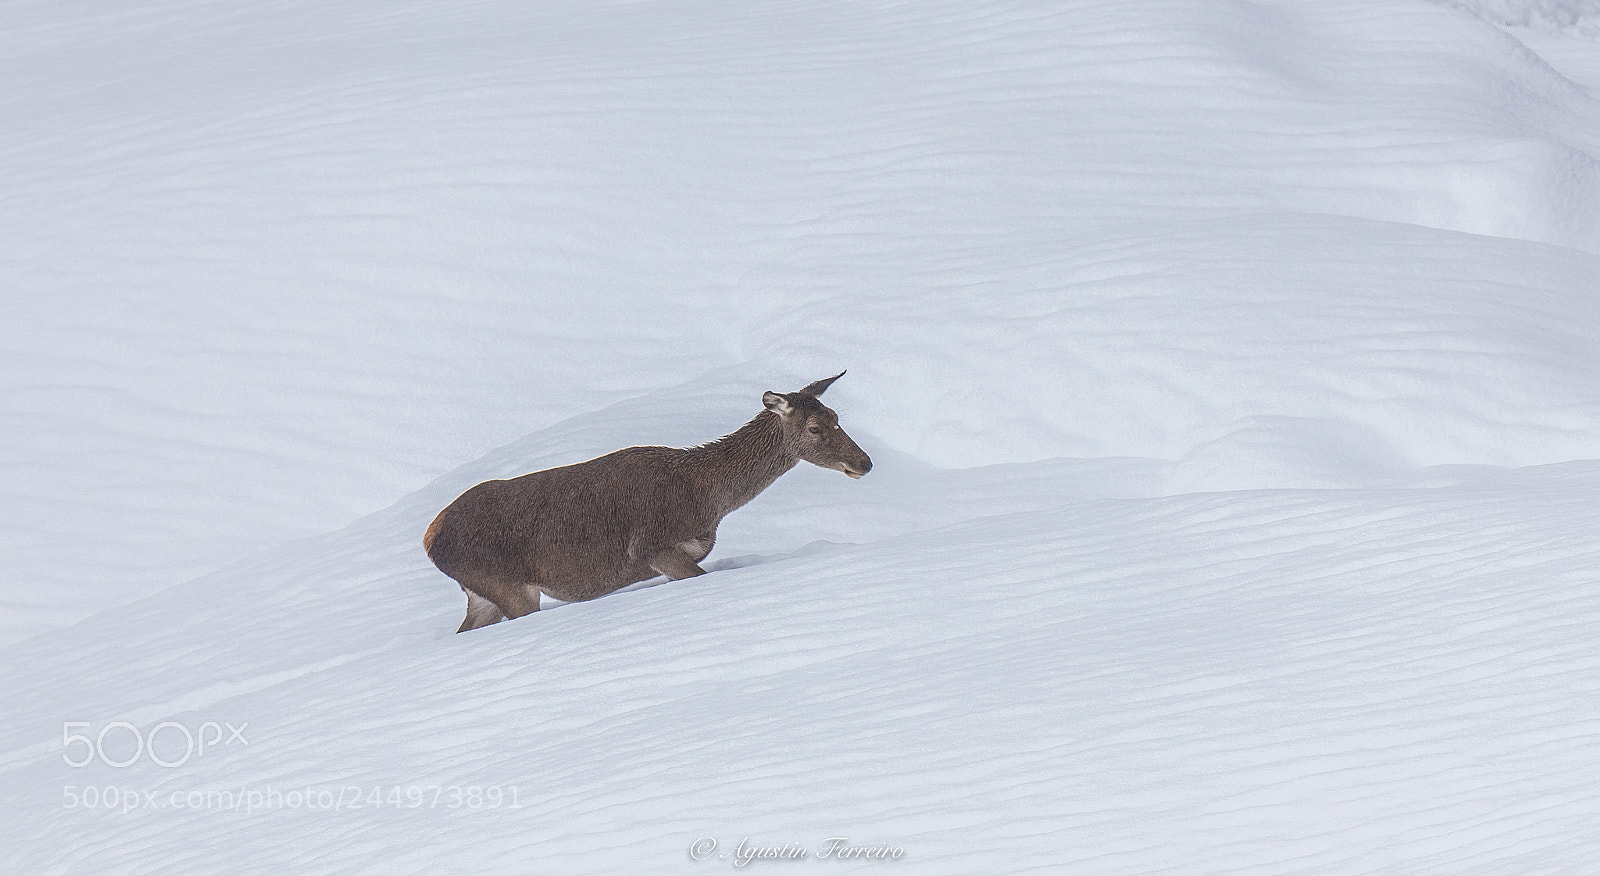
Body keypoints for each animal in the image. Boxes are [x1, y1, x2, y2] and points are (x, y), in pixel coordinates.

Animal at [423, 372, 873, 632]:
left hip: (482, 594)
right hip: (510, 588)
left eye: (837, 416)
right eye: (814, 427)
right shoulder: (655, 548)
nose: (864, 462)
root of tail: (430, 537)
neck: (706, 497)